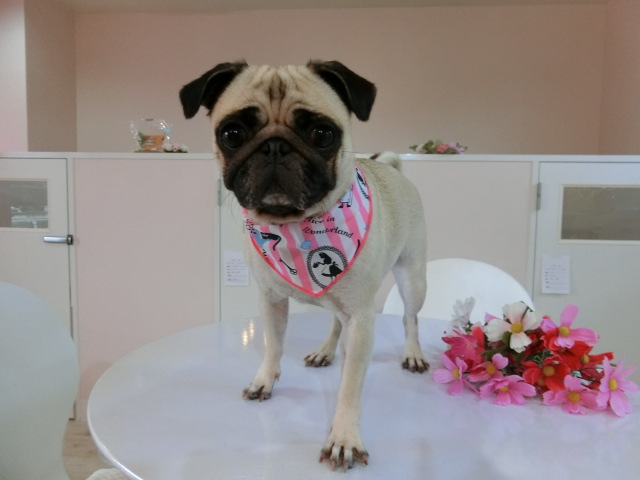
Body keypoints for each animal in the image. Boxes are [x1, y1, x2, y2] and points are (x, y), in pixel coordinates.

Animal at [180, 60, 428, 471]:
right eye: (232, 134)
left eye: (322, 134)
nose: (274, 146)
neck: (296, 226)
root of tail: (392, 169)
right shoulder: (271, 300)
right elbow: (272, 345)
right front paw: (265, 380)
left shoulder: (362, 319)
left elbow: (350, 385)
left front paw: (344, 438)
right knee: (334, 322)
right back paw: (325, 350)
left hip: (412, 277)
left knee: (410, 318)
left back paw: (413, 354)